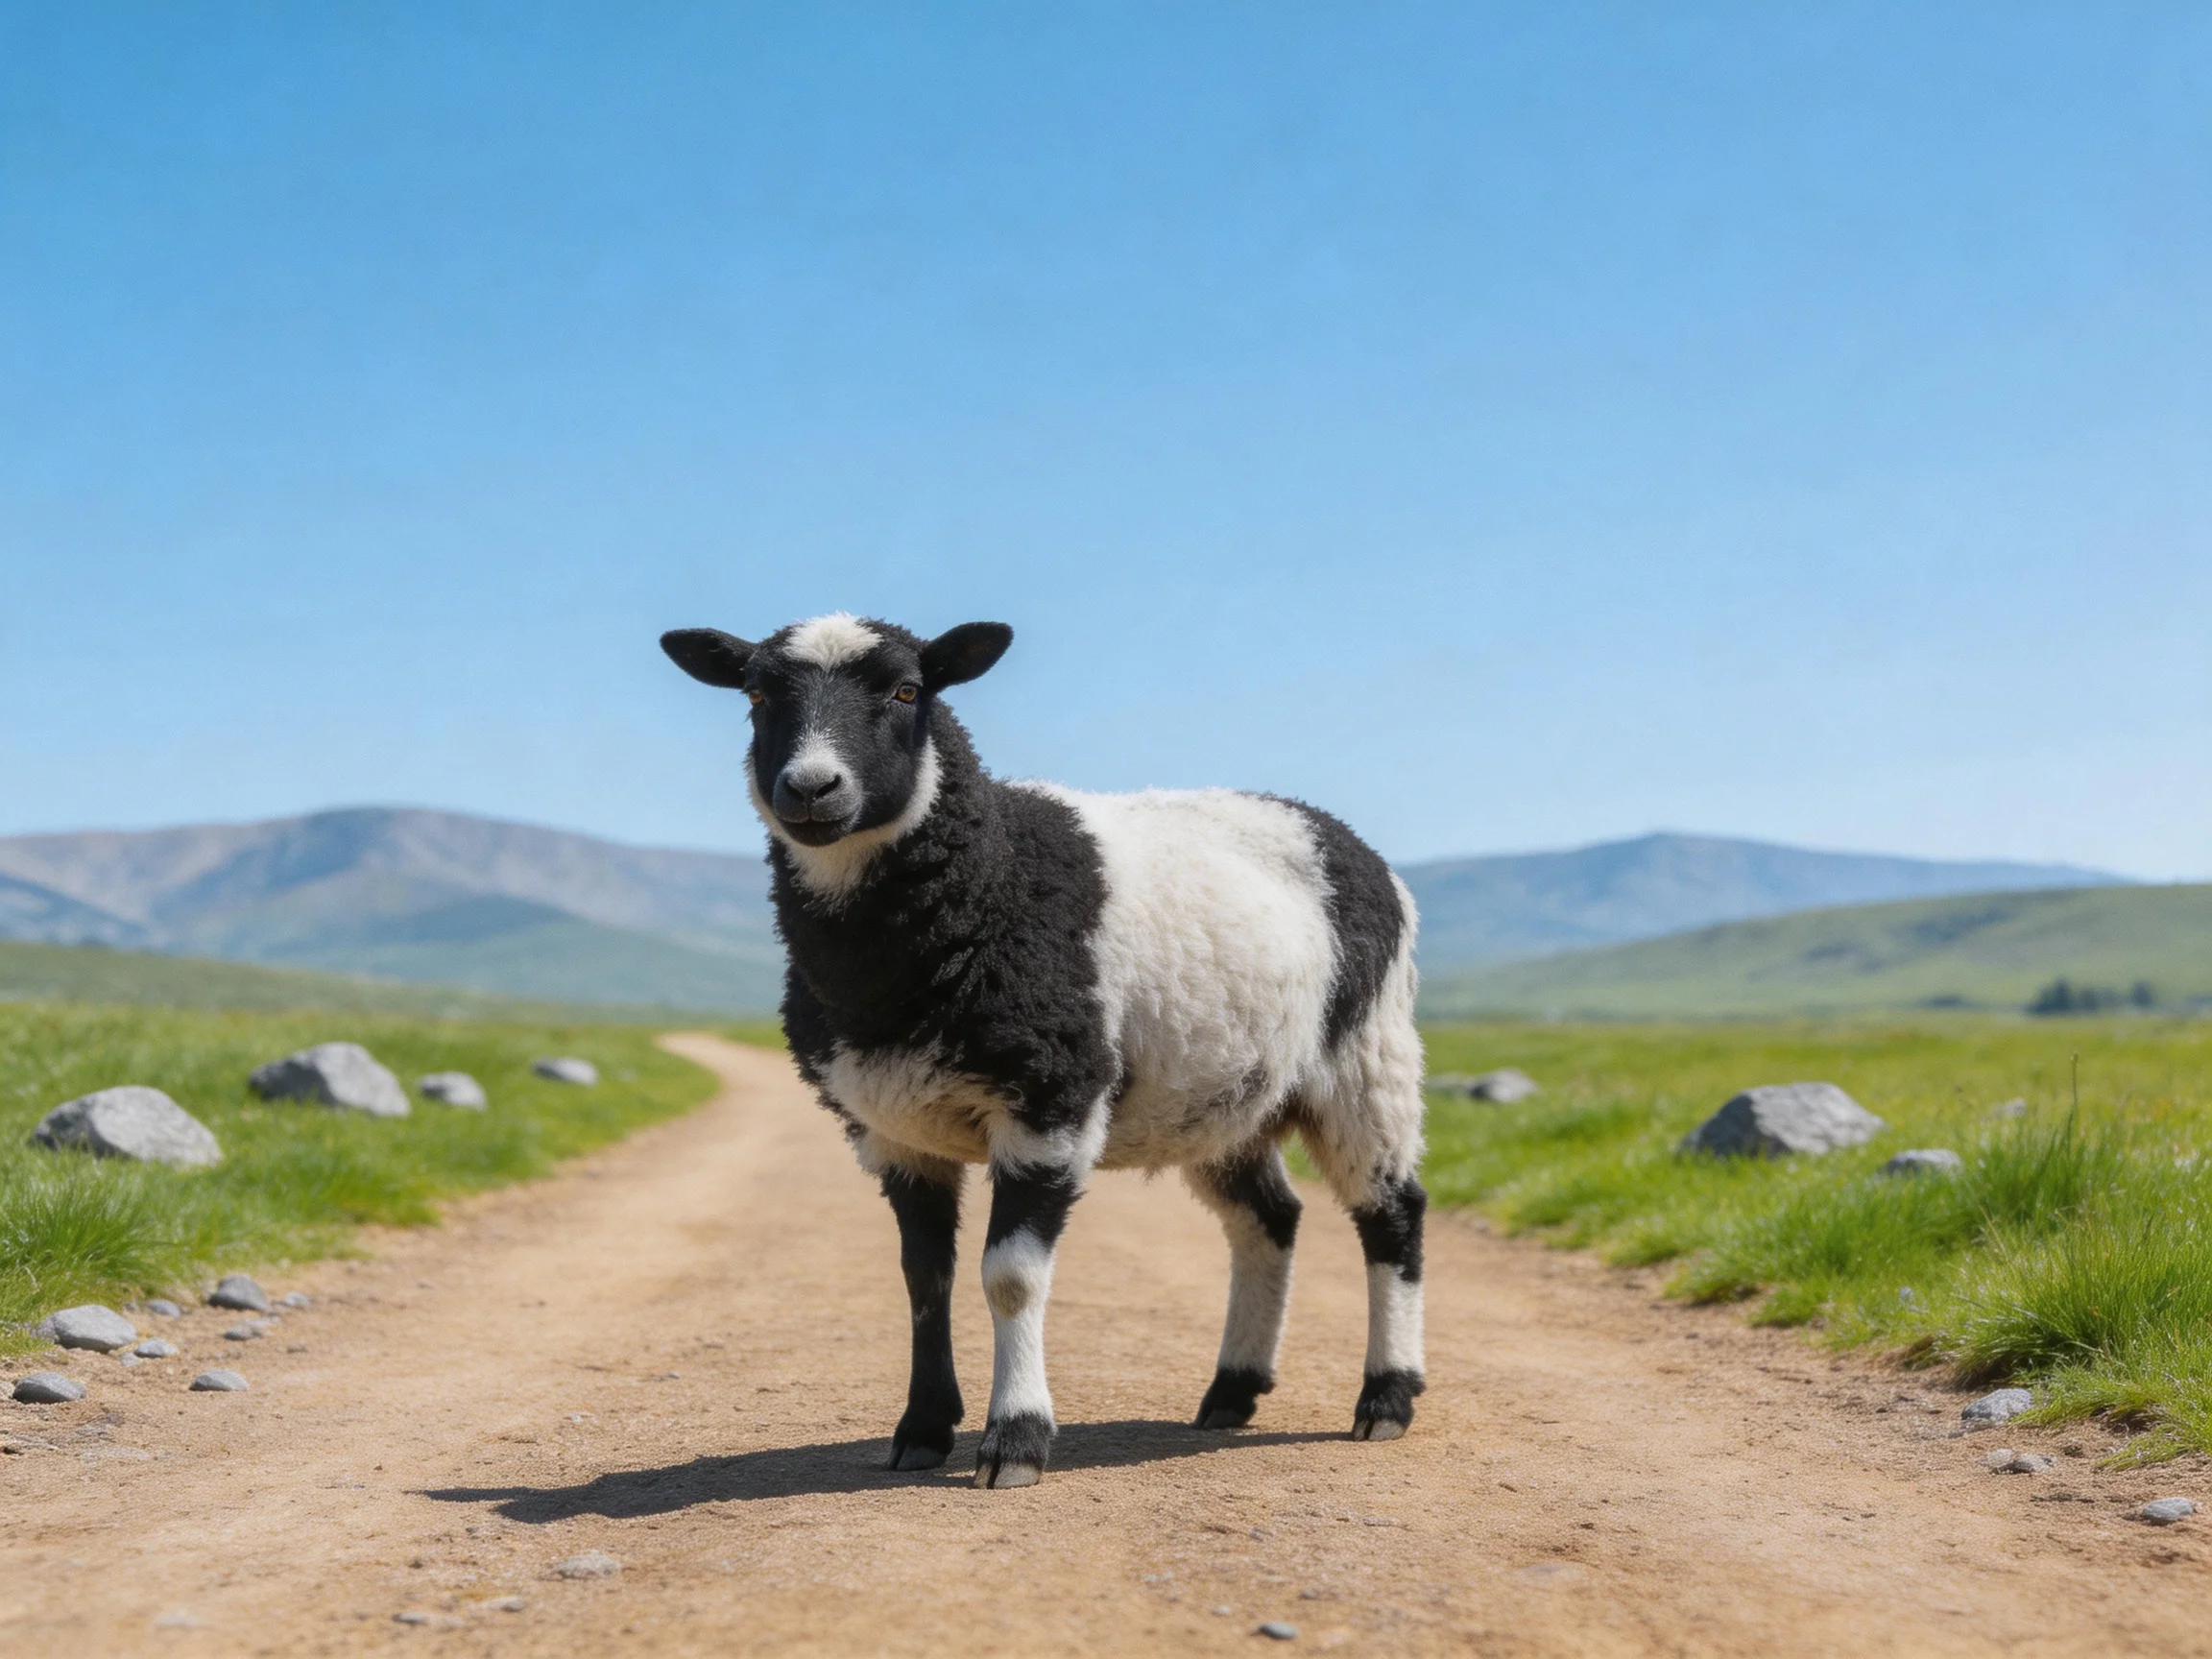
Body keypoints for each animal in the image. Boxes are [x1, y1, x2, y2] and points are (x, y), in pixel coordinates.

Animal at [661, 612, 1428, 1488]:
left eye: (908, 690)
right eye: (756, 695)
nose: (813, 789)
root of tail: (1330, 828)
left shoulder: (1049, 1099)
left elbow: (1010, 1278)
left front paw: (1016, 1439)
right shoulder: (895, 1130)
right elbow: (924, 1278)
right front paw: (921, 1429)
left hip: (1366, 1057)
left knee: (1392, 1216)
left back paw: (1386, 1397)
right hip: (1223, 1095)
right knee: (1268, 1220)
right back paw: (1232, 1391)